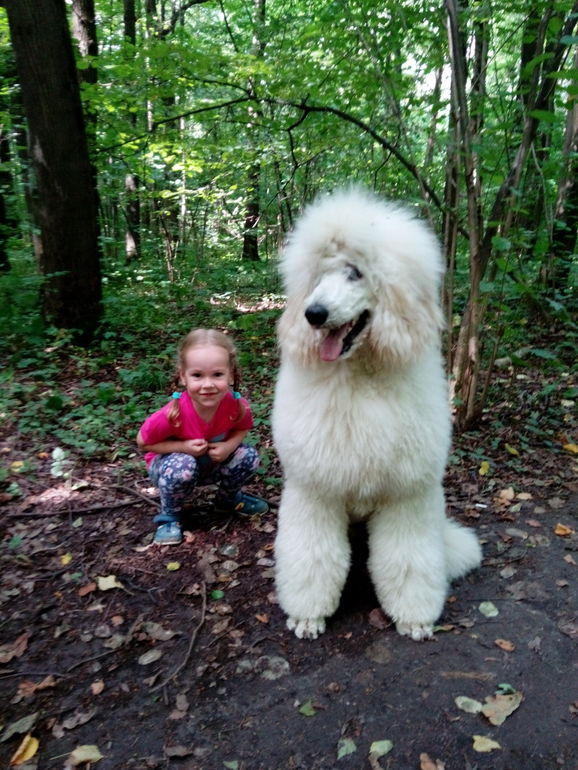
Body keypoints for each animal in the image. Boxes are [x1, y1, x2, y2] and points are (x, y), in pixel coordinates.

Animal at [272, 188, 482, 641]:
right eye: (318, 276)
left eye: (355, 273)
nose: (313, 314)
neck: (358, 374)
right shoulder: (314, 491)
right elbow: (312, 556)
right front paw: (308, 615)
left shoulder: (408, 494)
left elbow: (408, 557)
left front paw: (415, 616)